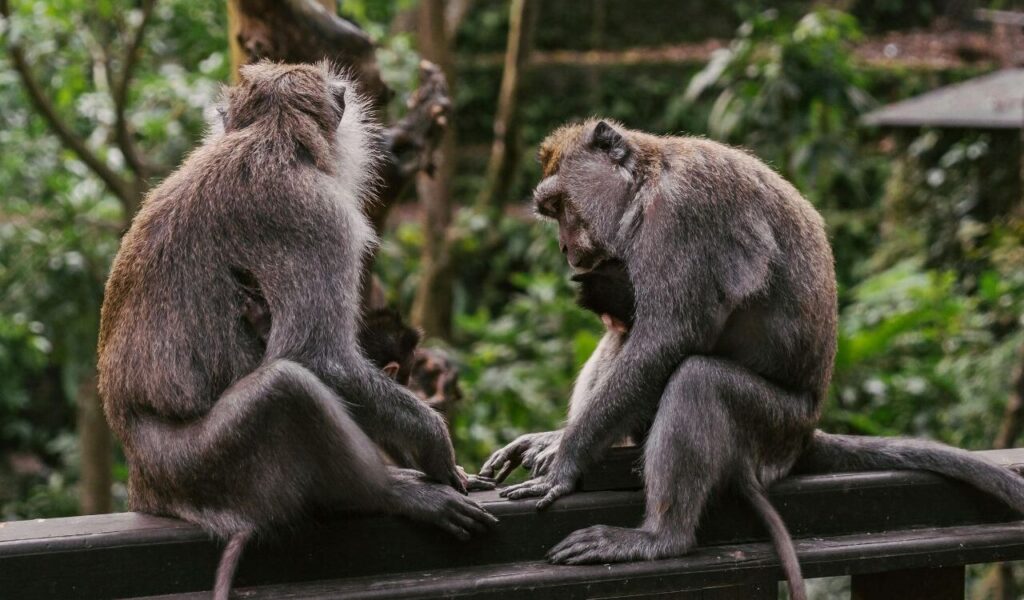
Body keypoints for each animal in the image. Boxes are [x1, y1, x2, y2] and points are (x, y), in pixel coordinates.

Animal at [98, 62, 497, 600]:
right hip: (199, 466)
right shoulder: (320, 218)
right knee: (287, 388)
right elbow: (317, 357)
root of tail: (143, 482)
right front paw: (435, 443)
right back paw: (388, 493)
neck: (271, 136)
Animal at [480, 119, 1024, 600]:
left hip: (770, 429)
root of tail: (806, 434)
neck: (646, 185)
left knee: (697, 378)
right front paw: (553, 441)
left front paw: (565, 464)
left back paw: (660, 538)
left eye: (560, 206)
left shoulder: (682, 214)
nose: (564, 248)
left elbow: (667, 339)